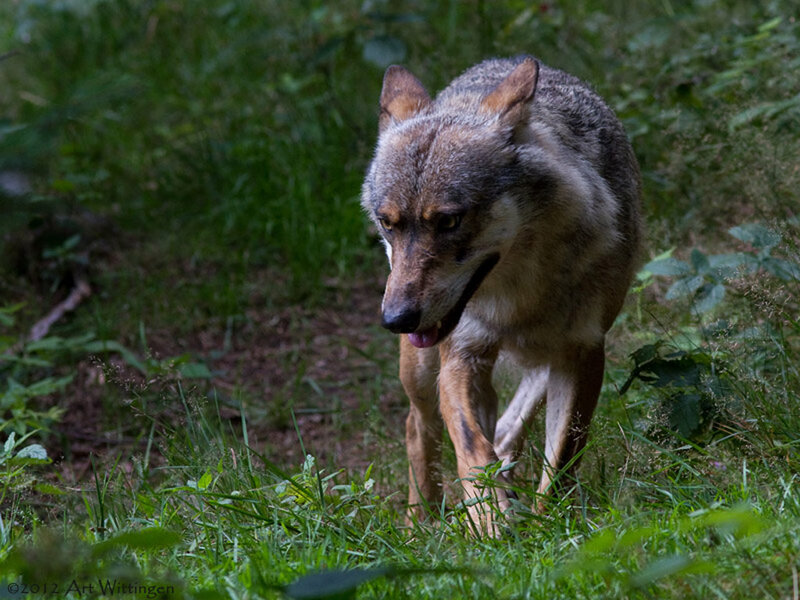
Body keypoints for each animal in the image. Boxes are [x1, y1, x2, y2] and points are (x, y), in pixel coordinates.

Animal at [361, 55, 642, 533]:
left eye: (449, 221)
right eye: (388, 223)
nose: (396, 319)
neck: (519, 296)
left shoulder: (583, 352)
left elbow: (561, 458)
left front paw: (546, 527)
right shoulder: (461, 356)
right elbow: (472, 449)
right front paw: (490, 521)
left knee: (509, 428)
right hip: (421, 368)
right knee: (419, 427)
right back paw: (422, 524)